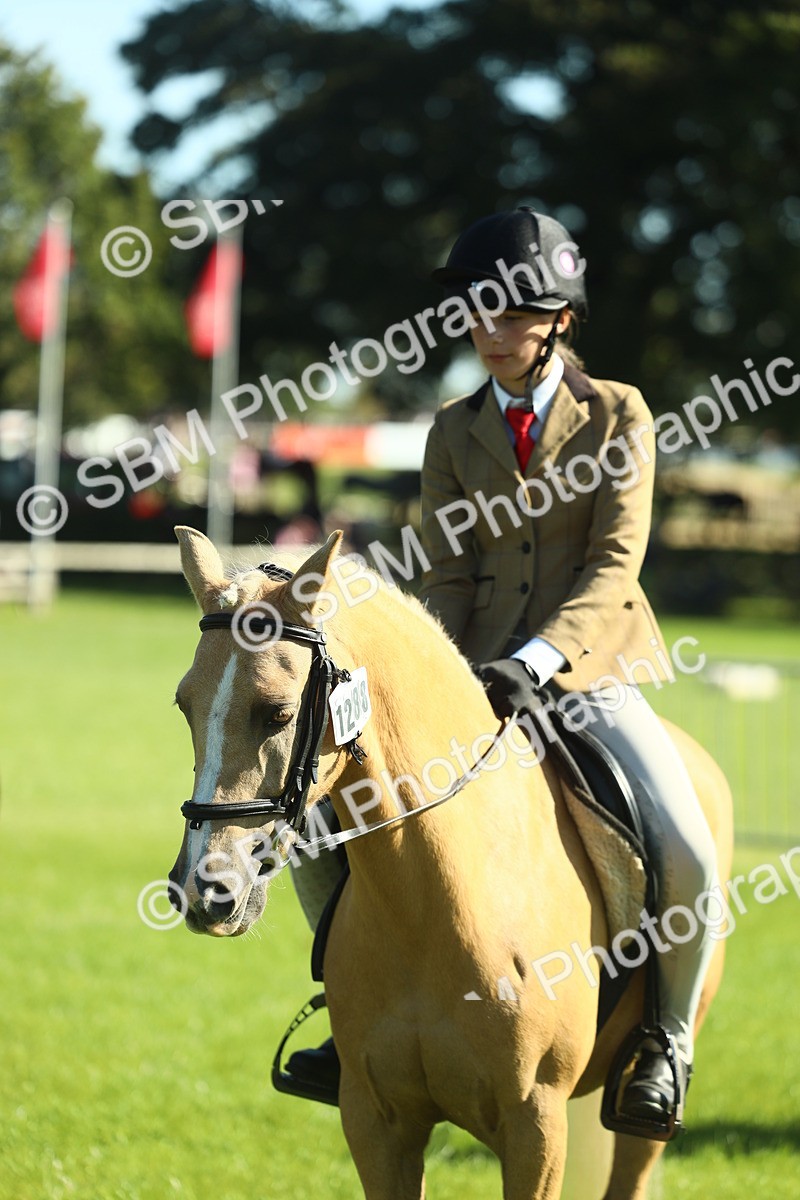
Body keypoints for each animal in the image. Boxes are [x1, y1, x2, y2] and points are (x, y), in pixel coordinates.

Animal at [168, 525, 733, 1200]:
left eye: (277, 712)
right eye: (184, 705)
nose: (205, 892)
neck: (431, 908)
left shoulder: (536, 1127)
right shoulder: (376, 1122)